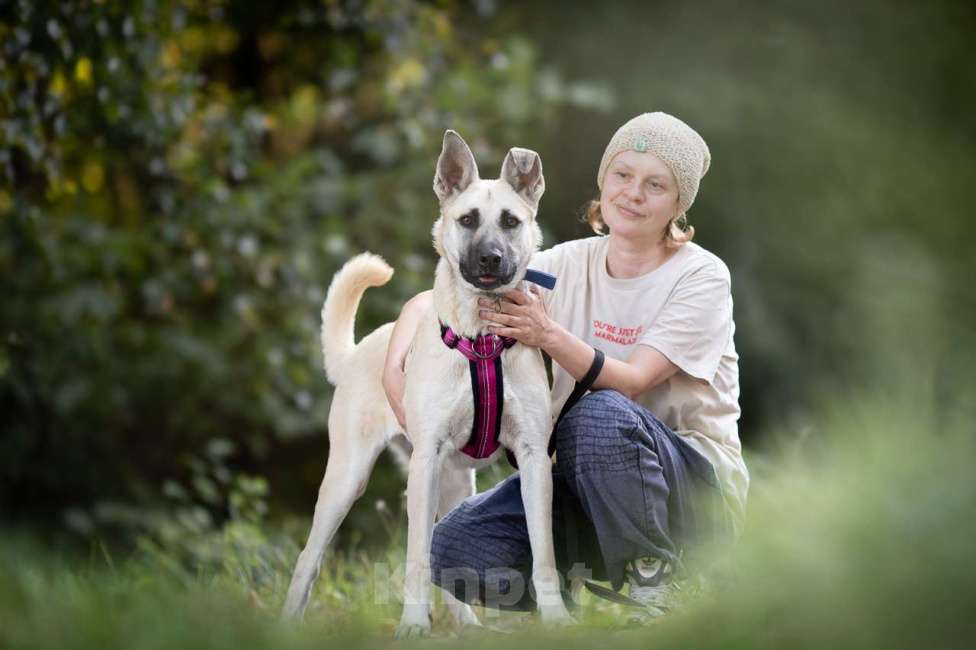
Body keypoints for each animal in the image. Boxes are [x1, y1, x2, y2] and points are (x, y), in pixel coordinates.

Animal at [280, 130, 572, 632]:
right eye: (467, 219)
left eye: (511, 221)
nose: (491, 258)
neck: (482, 339)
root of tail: (356, 354)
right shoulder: (425, 462)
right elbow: (416, 555)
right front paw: (414, 623)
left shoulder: (534, 459)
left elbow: (545, 553)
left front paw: (555, 617)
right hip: (348, 480)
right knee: (309, 558)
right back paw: (287, 619)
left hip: (455, 485)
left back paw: (468, 624)